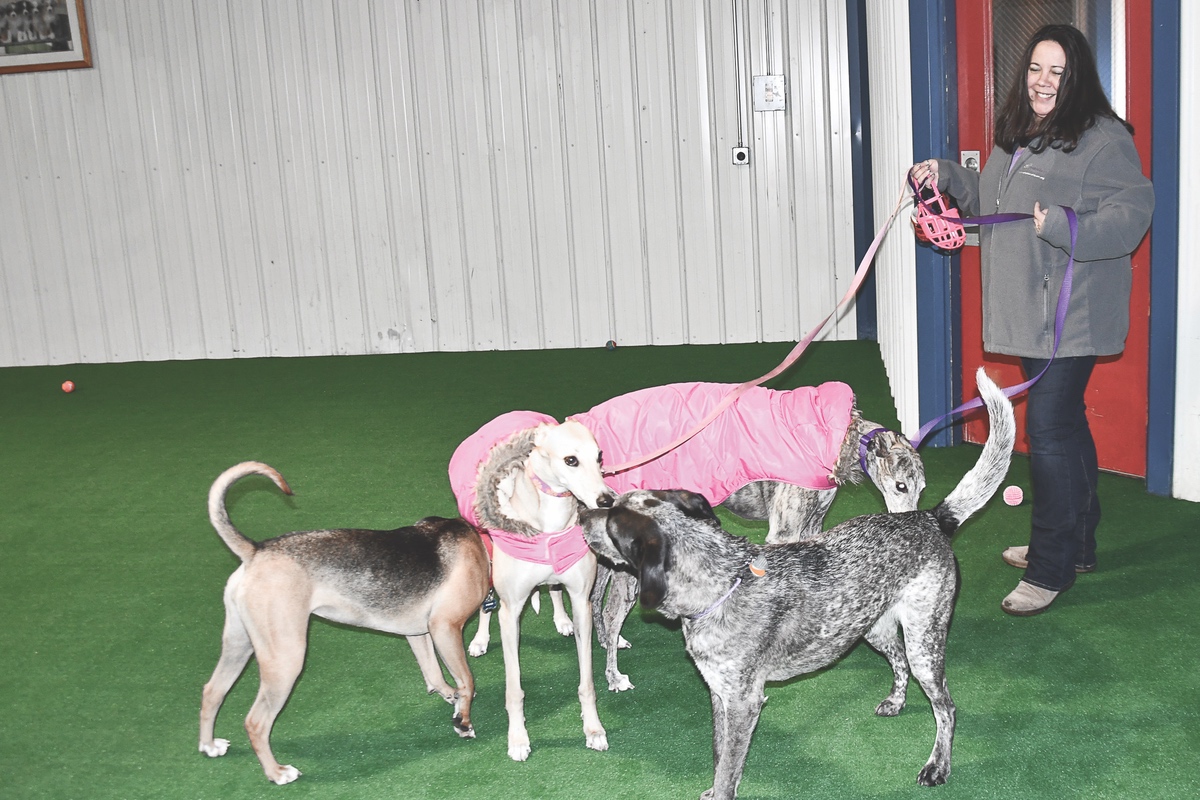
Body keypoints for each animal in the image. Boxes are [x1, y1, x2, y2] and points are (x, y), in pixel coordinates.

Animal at [580, 371, 1012, 800]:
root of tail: (932, 519)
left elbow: (727, 772)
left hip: (923, 642)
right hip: (874, 628)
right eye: (901, 485)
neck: (722, 582)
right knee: (900, 662)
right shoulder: (720, 696)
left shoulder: (742, 703)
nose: (586, 515)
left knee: (945, 707)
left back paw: (937, 765)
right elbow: (719, 761)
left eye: (613, 522)